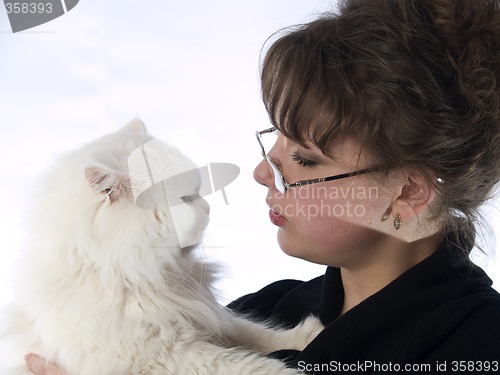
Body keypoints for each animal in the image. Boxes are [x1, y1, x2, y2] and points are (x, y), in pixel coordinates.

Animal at [0, 121, 322, 375]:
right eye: (185, 198)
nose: (209, 208)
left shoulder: (204, 317)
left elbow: (256, 333)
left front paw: (306, 336)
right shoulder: (168, 354)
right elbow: (247, 364)